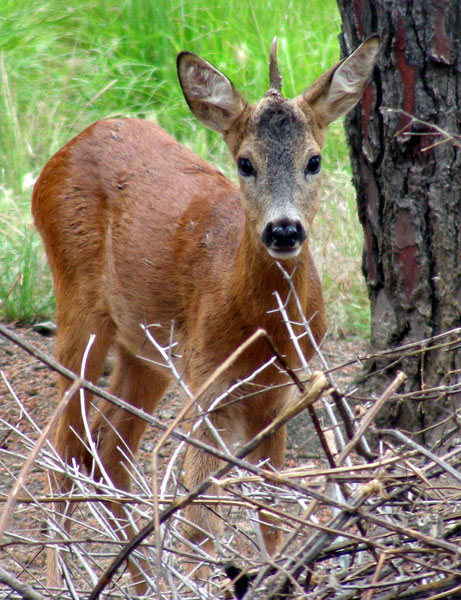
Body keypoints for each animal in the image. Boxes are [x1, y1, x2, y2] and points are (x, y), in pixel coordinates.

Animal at [32, 34, 378, 592]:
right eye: (245, 163)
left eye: (314, 160)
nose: (284, 230)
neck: (262, 328)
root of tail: (63, 151)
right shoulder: (206, 383)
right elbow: (200, 521)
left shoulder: (283, 392)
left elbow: (273, 508)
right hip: (79, 307)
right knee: (64, 447)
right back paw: (59, 577)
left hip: (146, 349)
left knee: (108, 449)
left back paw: (141, 581)